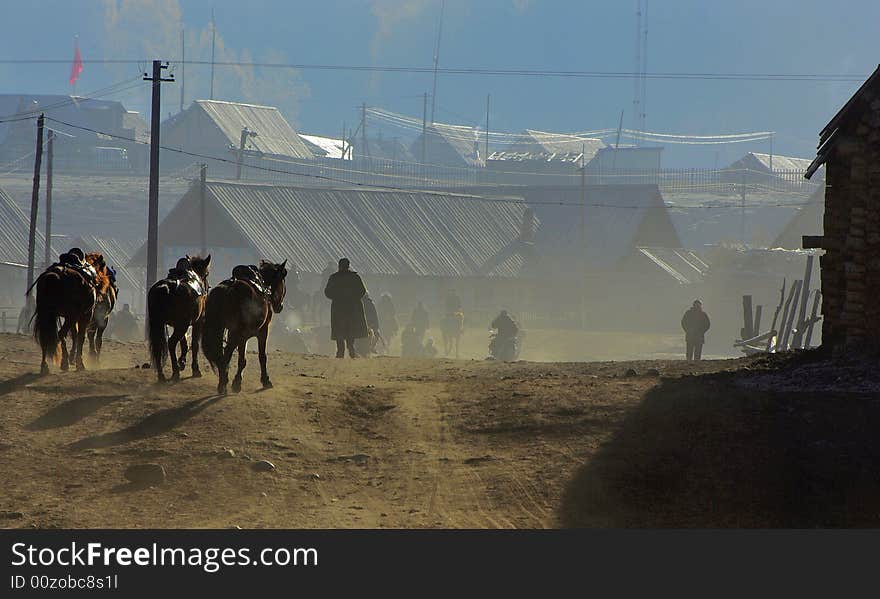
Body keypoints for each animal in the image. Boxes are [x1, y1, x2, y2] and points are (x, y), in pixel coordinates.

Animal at [201, 260, 288, 396]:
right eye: (282, 279)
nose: (280, 306)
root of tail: (229, 289)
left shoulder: (237, 334)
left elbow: (238, 357)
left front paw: (234, 381)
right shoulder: (261, 331)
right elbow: (260, 357)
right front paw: (263, 380)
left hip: (223, 330)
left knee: (222, 355)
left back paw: (223, 381)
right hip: (238, 333)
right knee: (228, 355)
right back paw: (224, 383)